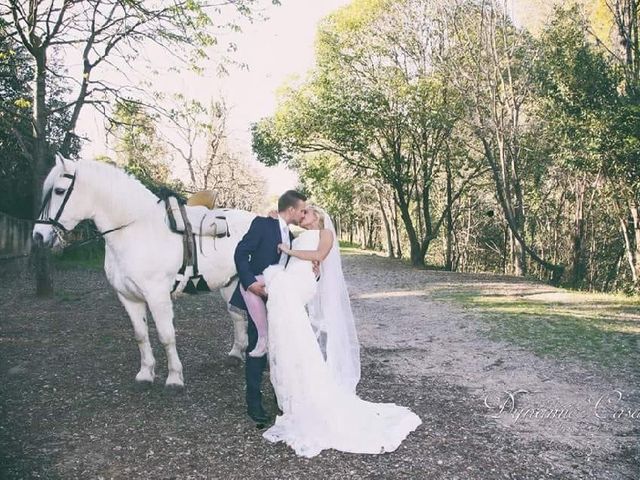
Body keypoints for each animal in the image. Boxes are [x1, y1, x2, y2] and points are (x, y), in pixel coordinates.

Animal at [32, 157, 252, 390]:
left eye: (59, 190)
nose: (38, 236)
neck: (135, 230)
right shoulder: (128, 297)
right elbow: (140, 335)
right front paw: (146, 374)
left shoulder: (158, 297)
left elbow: (166, 336)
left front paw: (174, 378)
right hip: (230, 283)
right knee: (238, 315)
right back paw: (236, 354)